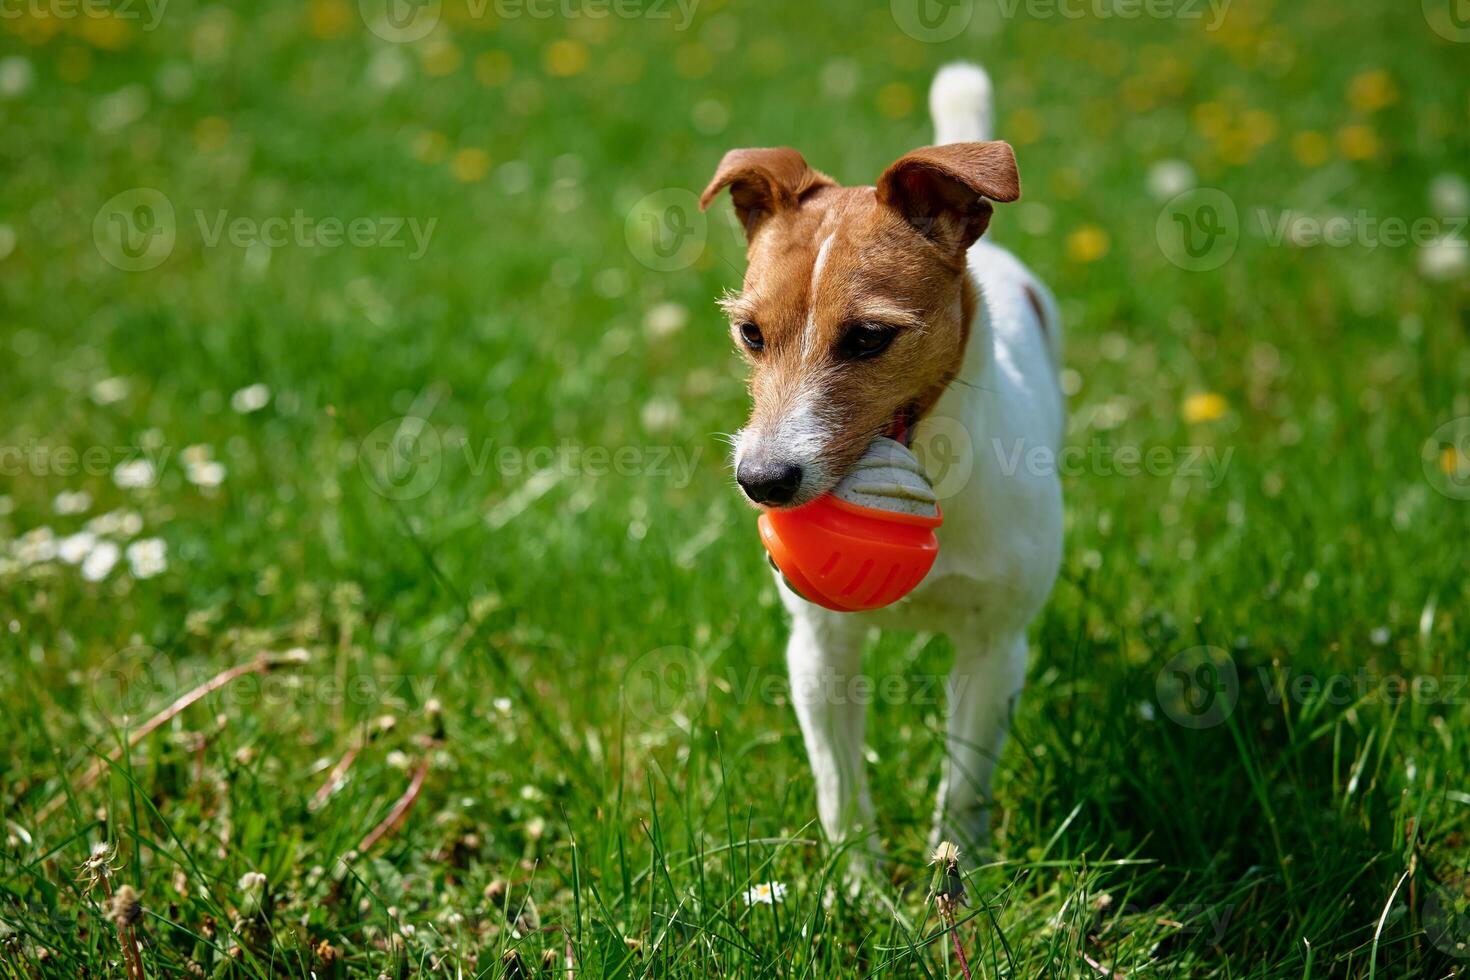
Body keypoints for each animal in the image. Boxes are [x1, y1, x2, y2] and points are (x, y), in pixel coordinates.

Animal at [702, 63, 1064, 875]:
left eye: (869, 337)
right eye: (750, 334)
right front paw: (856, 890)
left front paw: (956, 881)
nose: (762, 481)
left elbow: (963, 788)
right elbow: (840, 790)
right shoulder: (818, 653)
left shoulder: (995, 651)